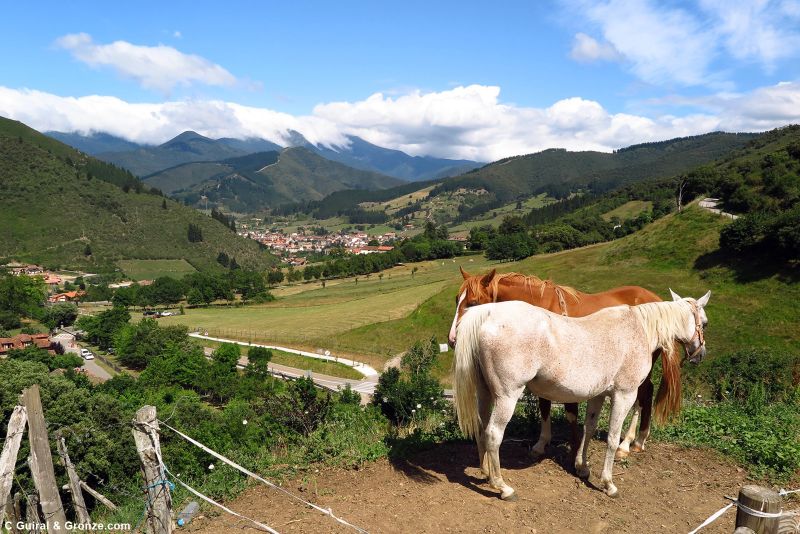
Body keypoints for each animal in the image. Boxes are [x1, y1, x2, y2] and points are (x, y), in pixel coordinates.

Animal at [446, 270, 680, 462]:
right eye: (457, 299)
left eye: (474, 303)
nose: (452, 339)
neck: (543, 309)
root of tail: (657, 301)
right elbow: (544, 407)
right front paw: (541, 444)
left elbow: (570, 411)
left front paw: (576, 449)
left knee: (644, 394)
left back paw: (630, 442)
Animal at [454, 292, 708, 500]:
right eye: (704, 322)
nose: (700, 354)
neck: (638, 330)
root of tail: (488, 313)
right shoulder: (624, 394)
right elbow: (612, 438)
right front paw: (609, 484)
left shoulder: (598, 395)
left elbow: (589, 429)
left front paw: (582, 467)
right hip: (507, 396)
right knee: (493, 434)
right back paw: (502, 487)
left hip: (486, 392)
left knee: (481, 428)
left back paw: (486, 472)